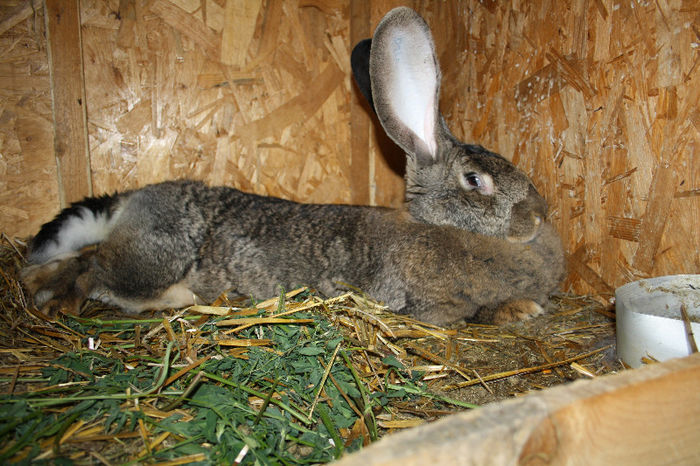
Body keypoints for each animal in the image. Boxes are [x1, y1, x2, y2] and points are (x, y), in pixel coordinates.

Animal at [21, 8, 568, 328]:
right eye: (475, 180)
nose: (541, 213)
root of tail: (132, 199)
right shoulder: (429, 307)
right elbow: (475, 314)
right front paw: (523, 308)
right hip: (156, 254)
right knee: (93, 269)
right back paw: (73, 301)